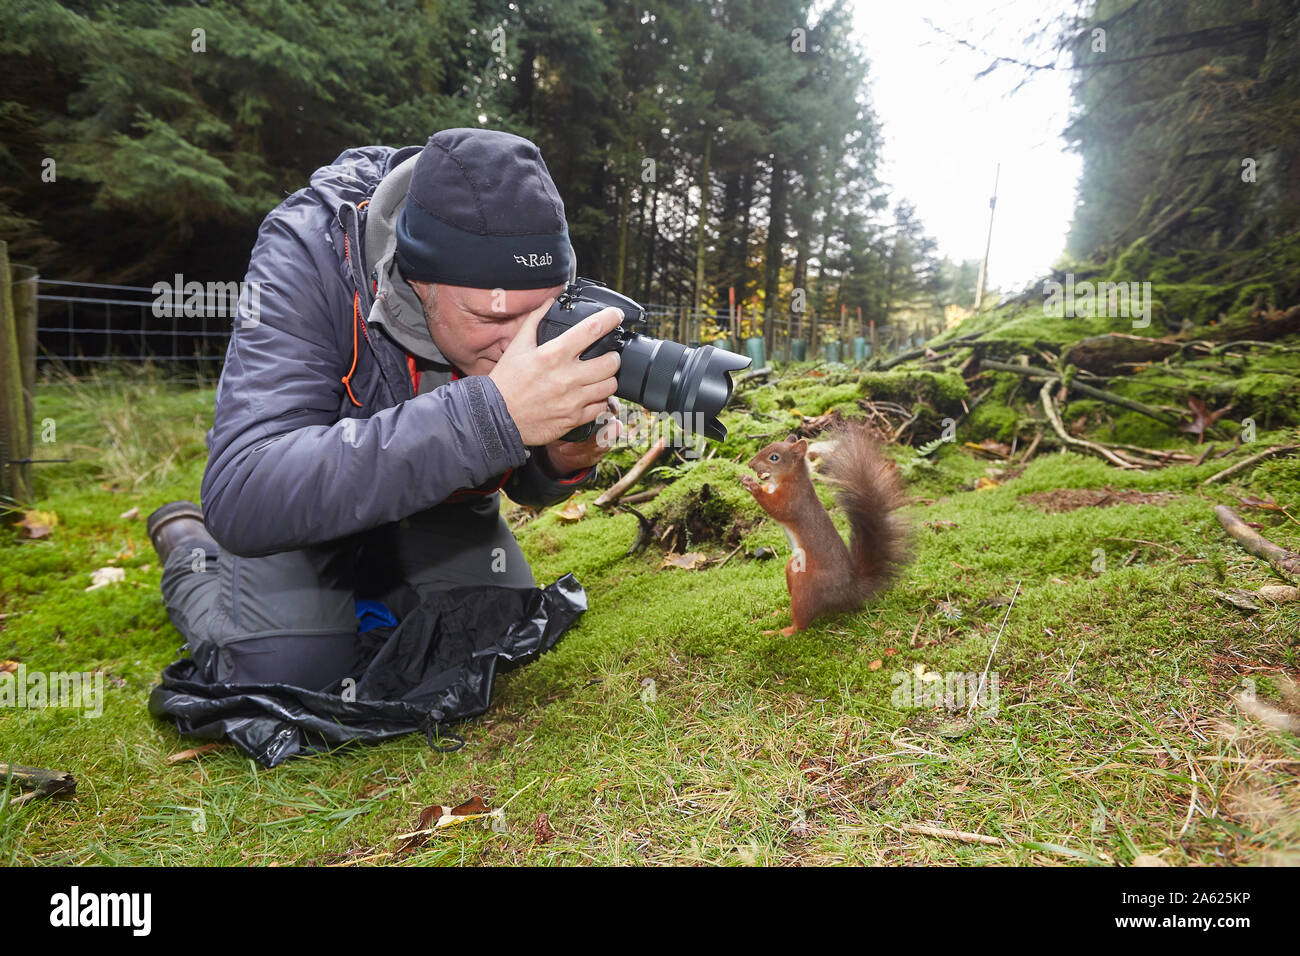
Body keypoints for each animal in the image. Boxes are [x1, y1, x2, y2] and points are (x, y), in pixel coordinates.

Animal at [739, 424, 908, 635]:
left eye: (774, 457)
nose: (750, 464)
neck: (787, 479)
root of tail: (848, 593)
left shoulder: (793, 500)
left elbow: (776, 508)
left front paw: (753, 486)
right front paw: (748, 479)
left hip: (806, 585)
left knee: (802, 623)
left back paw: (780, 632)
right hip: (792, 569)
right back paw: (780, 612)